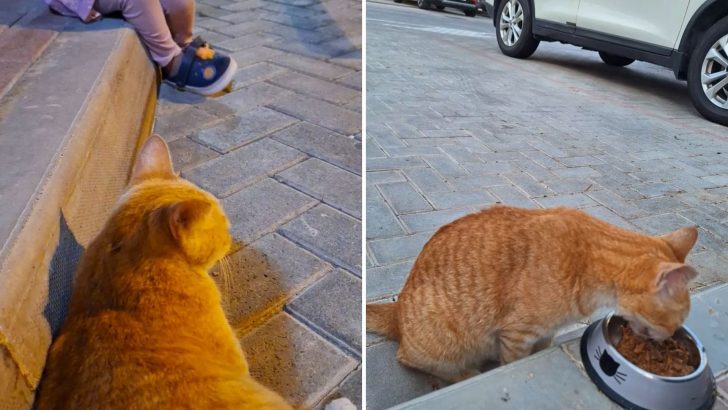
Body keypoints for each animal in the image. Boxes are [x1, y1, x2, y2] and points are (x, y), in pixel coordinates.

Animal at [370, 207, 700, 382]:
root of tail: (398, 308)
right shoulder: (517, 335)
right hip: (442, 341)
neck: (587, 260)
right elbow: (514, 363)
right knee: (417, 361)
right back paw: (467, 372)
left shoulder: (546, 332)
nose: (670, 337)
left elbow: (543, 348)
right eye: (674, 321)